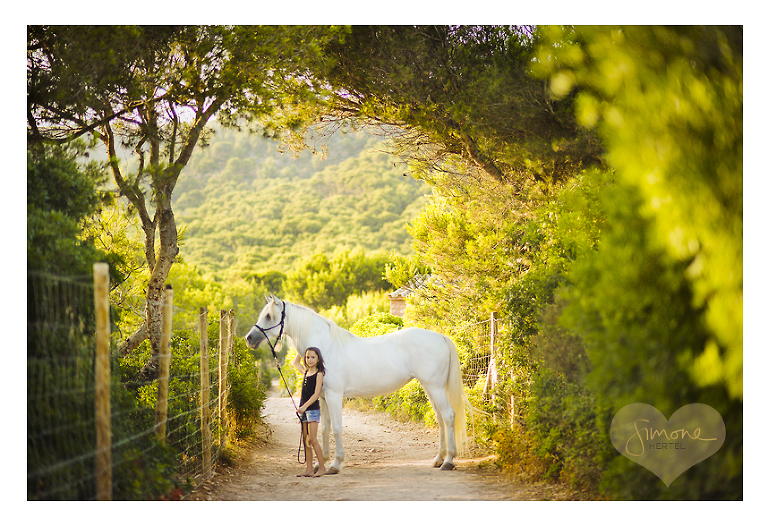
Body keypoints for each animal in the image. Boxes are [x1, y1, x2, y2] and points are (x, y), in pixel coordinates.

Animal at [243, 296, 468, 474]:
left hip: (435, 387)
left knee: (449, 416)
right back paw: (437, 460)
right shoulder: (322, 397)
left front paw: (335, 465)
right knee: (440, 419)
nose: (249, 338)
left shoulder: (334, 396)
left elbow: (336, 428)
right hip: (430, 387)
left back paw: (448, 461)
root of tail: (441, 337)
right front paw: (320, 463)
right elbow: (324, 429)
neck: (325, 347)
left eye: (269, 316)